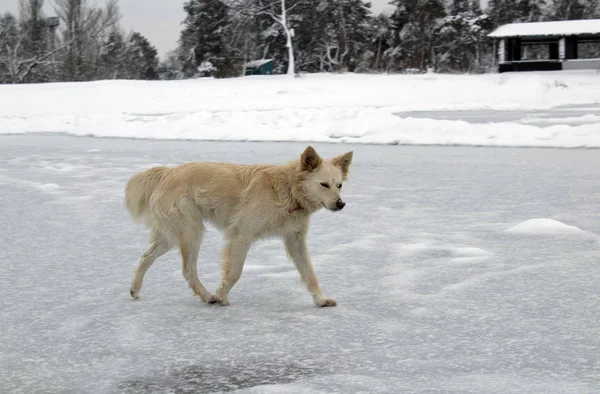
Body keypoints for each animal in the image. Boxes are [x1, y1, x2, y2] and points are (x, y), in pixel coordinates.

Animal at [125, 146, 352, 306]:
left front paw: (321, 299)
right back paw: (207, 296)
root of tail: (167, 173)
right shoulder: (242, 234)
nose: (341, 204)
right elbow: (235, 272)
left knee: (146, 258)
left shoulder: (295, 240)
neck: (287, 189)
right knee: (188, 270)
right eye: (324, 185)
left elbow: (309, 273)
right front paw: (221, 295)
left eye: (339, 185)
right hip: (191, 232)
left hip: (171, 236)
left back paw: (135, 290)